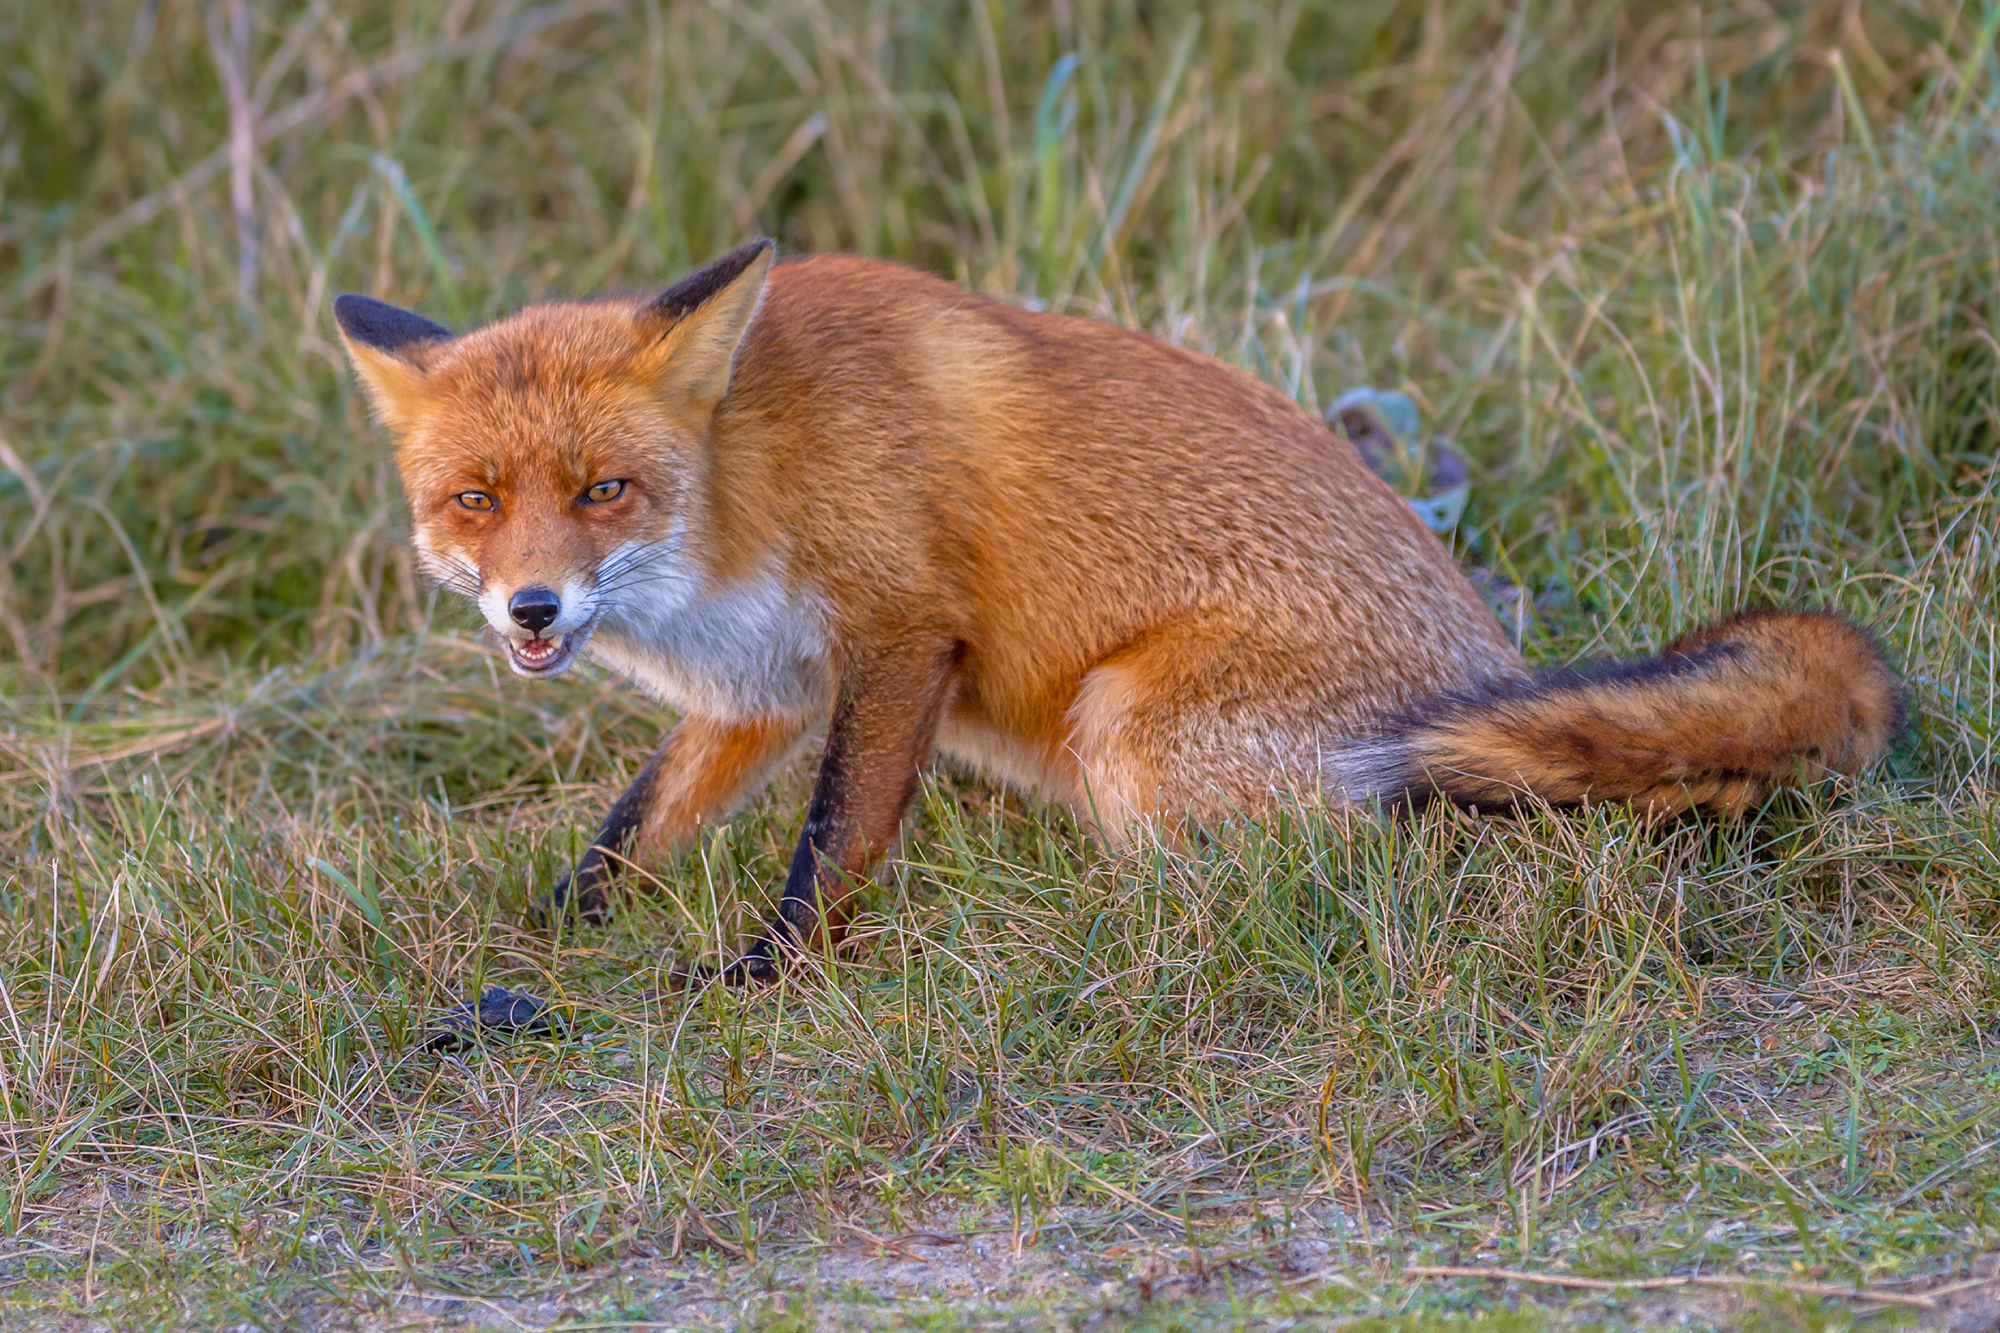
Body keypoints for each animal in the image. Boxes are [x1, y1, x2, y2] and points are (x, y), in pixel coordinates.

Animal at [334, 238, 1904, 981]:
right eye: (474, 500)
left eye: (604, 489)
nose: (533, 606)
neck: (741, 485)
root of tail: (1489, 670)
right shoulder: (758, 691)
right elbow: (628, 834)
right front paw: (545, 940)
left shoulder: (901, 635)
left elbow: (831, 842)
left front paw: (767, 977)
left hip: (1129, 726)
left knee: (1385, 860)